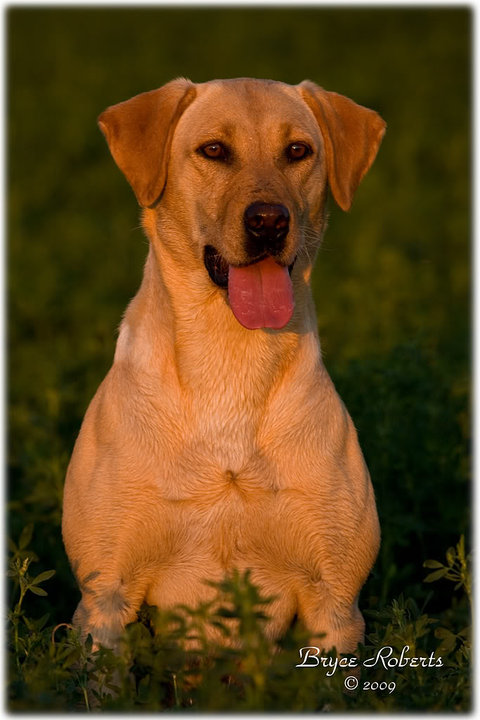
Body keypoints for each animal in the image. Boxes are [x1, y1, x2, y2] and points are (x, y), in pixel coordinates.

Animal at [62, 77, 386, 652]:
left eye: (298, 151)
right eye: (213, 150)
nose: (269, 221)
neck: (231, 356)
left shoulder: (334, 604)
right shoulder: (104, 598)